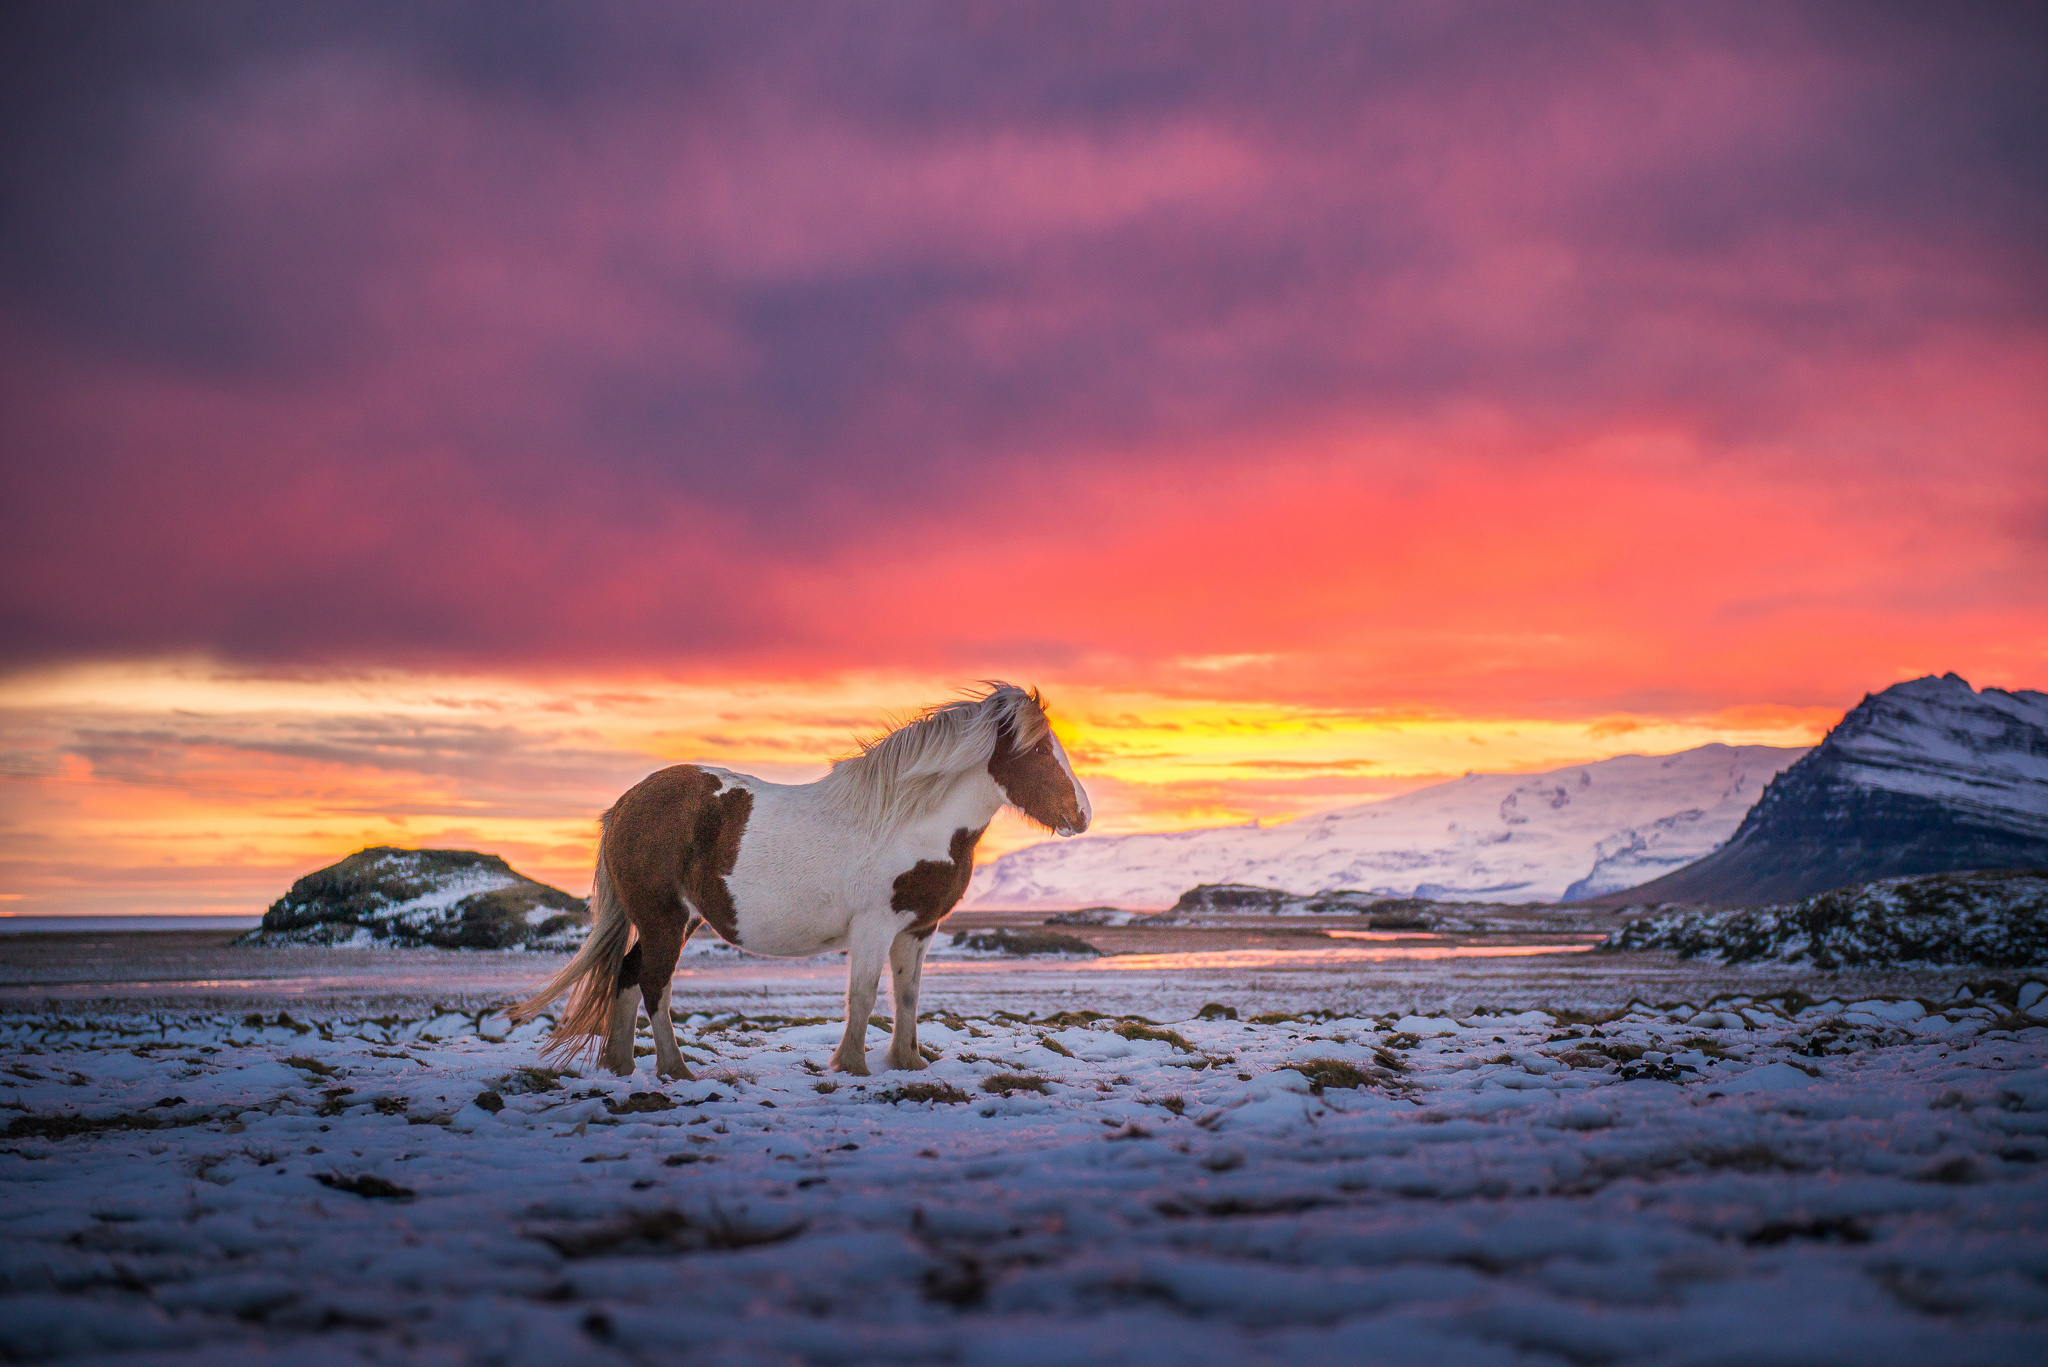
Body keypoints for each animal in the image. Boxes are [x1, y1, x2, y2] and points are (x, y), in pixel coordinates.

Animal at [511, 682, 1090, 1079]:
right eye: (1041, 750)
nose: (1082, 814)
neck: (910, 821)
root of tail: (628, 803)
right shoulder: (873, 926)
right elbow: (862, 995)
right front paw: (852, 1066)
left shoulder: (917, 930)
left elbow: (906, 995)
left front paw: (907, 1063)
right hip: (663, 920)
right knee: (653, 983)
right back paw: (675, 1070)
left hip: (674, 921)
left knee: (629, 976)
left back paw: (621, 1067)